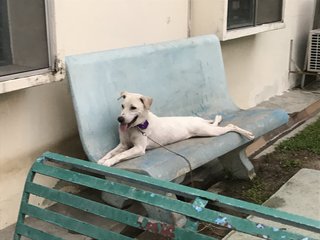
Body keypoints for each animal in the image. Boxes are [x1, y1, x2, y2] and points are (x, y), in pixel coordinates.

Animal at [98, 92, 255, 167]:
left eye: (133, 108)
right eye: (122, 106)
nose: (120, 119)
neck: (135, 127)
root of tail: (197, 120)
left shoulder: (138, 148)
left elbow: (120, 155)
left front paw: (109, 162)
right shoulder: (123, 145)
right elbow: (110, 152)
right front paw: (102, 160)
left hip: (208, 132)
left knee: (231, 126)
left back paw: (247, 134)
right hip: (207, 129)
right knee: (216, 124)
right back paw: (217, 118)